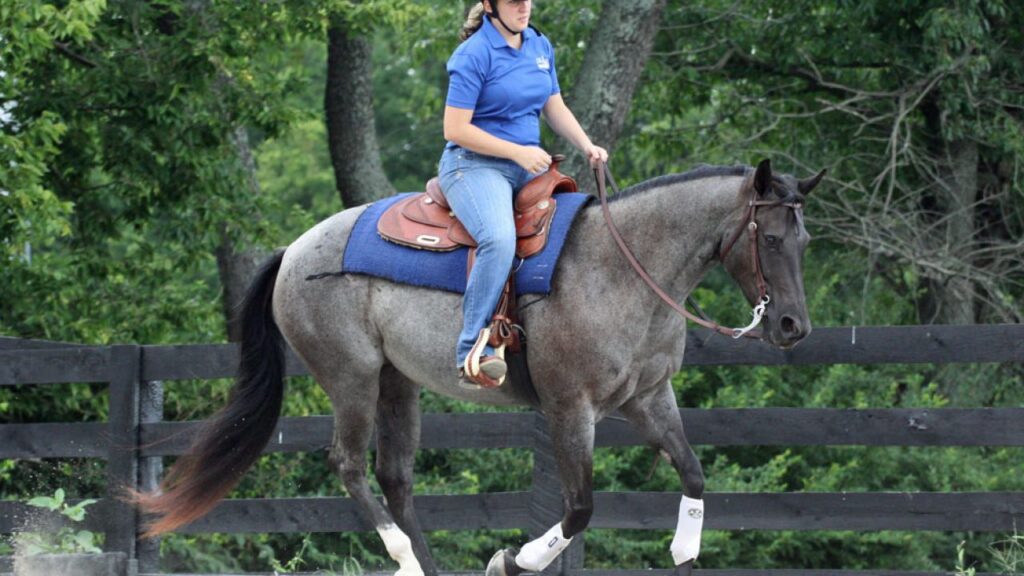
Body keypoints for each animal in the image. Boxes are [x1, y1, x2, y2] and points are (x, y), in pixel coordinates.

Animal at [134, 157, 823, 573]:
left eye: (805, 240)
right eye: (769, 238)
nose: (794, 327)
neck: (623, 269)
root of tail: (293, 251)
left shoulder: (649, 398)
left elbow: (694, 474)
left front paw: (683, 547)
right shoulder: (569, 409)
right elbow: (579, 507)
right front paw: (512, 560)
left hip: (396, 384)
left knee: (395, 476)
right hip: (351, 377)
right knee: (349, 464)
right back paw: (404, 556)